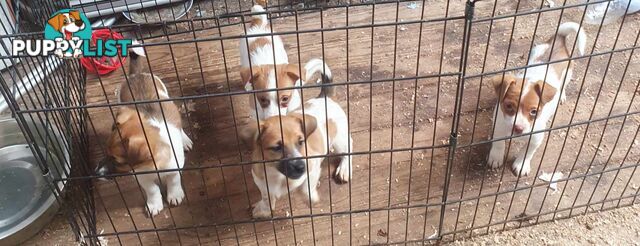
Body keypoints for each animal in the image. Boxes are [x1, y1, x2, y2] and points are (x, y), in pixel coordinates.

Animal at [95, 43, 192, 216]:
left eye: (117, 161)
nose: (96, 173)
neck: (152, 167)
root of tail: (137, 74)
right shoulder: (141, 177)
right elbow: (152, 189)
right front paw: (154, 204)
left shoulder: (175, 167)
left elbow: (174, 180)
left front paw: (175, 194)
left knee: (179, 124)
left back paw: (185, 140)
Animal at [490, 22, 584, 177]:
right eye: (509, 106)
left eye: (534, 111)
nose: (518, 128)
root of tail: (558, 39)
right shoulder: (499, 125)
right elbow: (498, 143)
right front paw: (495, 157)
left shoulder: (536, 138)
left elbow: (527, 152)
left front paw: (521, 164)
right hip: (535, 51)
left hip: (568, 73)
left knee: (563, 85)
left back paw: (561, 96)